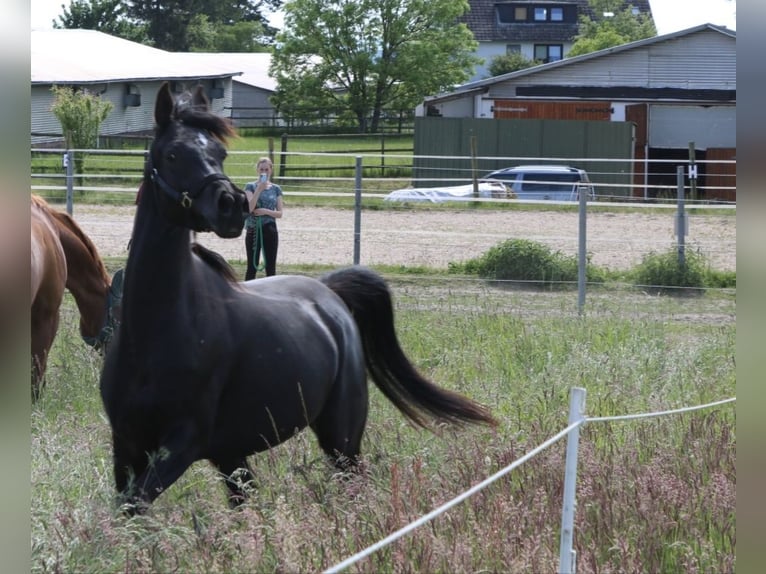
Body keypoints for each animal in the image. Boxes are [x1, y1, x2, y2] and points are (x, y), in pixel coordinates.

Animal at [100, 82, 496, 514]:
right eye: (172, 153)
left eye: (220, 153)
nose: (231, 206)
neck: (156, 330)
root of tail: (329, 294)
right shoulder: (127, 446)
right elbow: (125, 513)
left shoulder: (182, 444)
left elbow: (132, 509)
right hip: (232, 453)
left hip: (340, 436)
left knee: (353, 484)